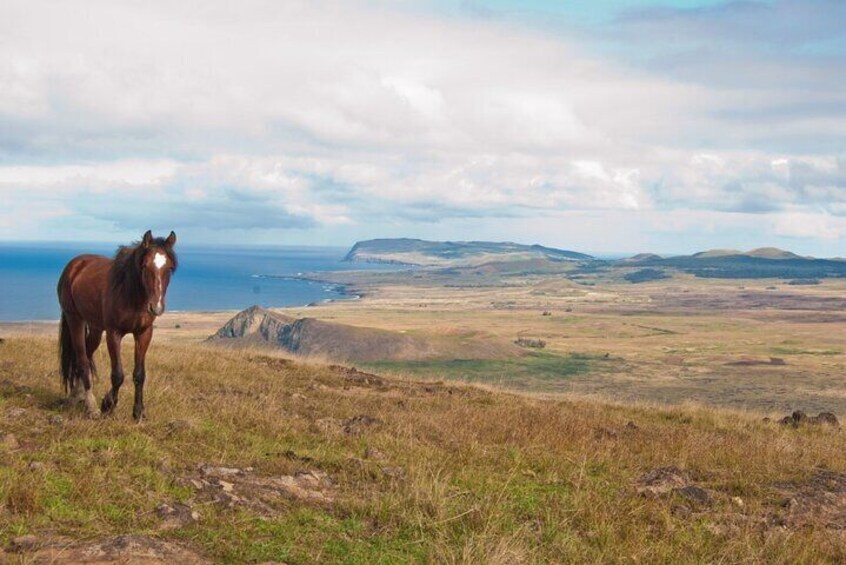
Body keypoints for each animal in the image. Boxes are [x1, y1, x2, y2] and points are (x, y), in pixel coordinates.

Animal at [57, 229, 177, 418]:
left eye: (170, 268)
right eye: (144, 266)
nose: (156, 307)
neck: (130, 293)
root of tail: (75, 265)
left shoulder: (144, 333)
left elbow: (139, 374)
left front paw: (138, 412)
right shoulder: (114, 333)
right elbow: (118, 375)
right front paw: (108, 405)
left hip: (96, 328)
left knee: (85, 355)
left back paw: (77, 395)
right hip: (74, 319)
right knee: (82, 360)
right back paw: (91, 406)